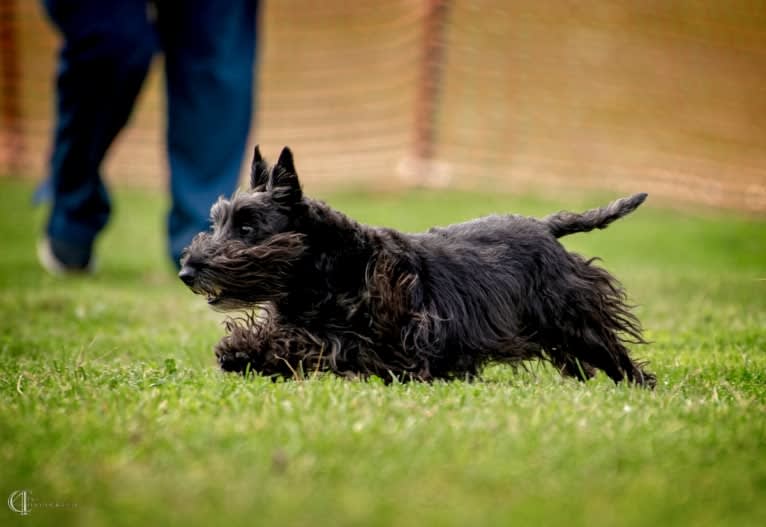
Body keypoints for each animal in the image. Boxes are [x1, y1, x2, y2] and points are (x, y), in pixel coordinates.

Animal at [178, 146, 656, 386]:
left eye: (247, 225)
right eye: (216, 221)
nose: (187, 271)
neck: (324, 266)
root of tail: (545, 226)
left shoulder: (386, 338)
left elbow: (322, 342)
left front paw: (252, 352)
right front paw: (243, 351)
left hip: (572, 314)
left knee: (607, 348)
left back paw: (637, 382)